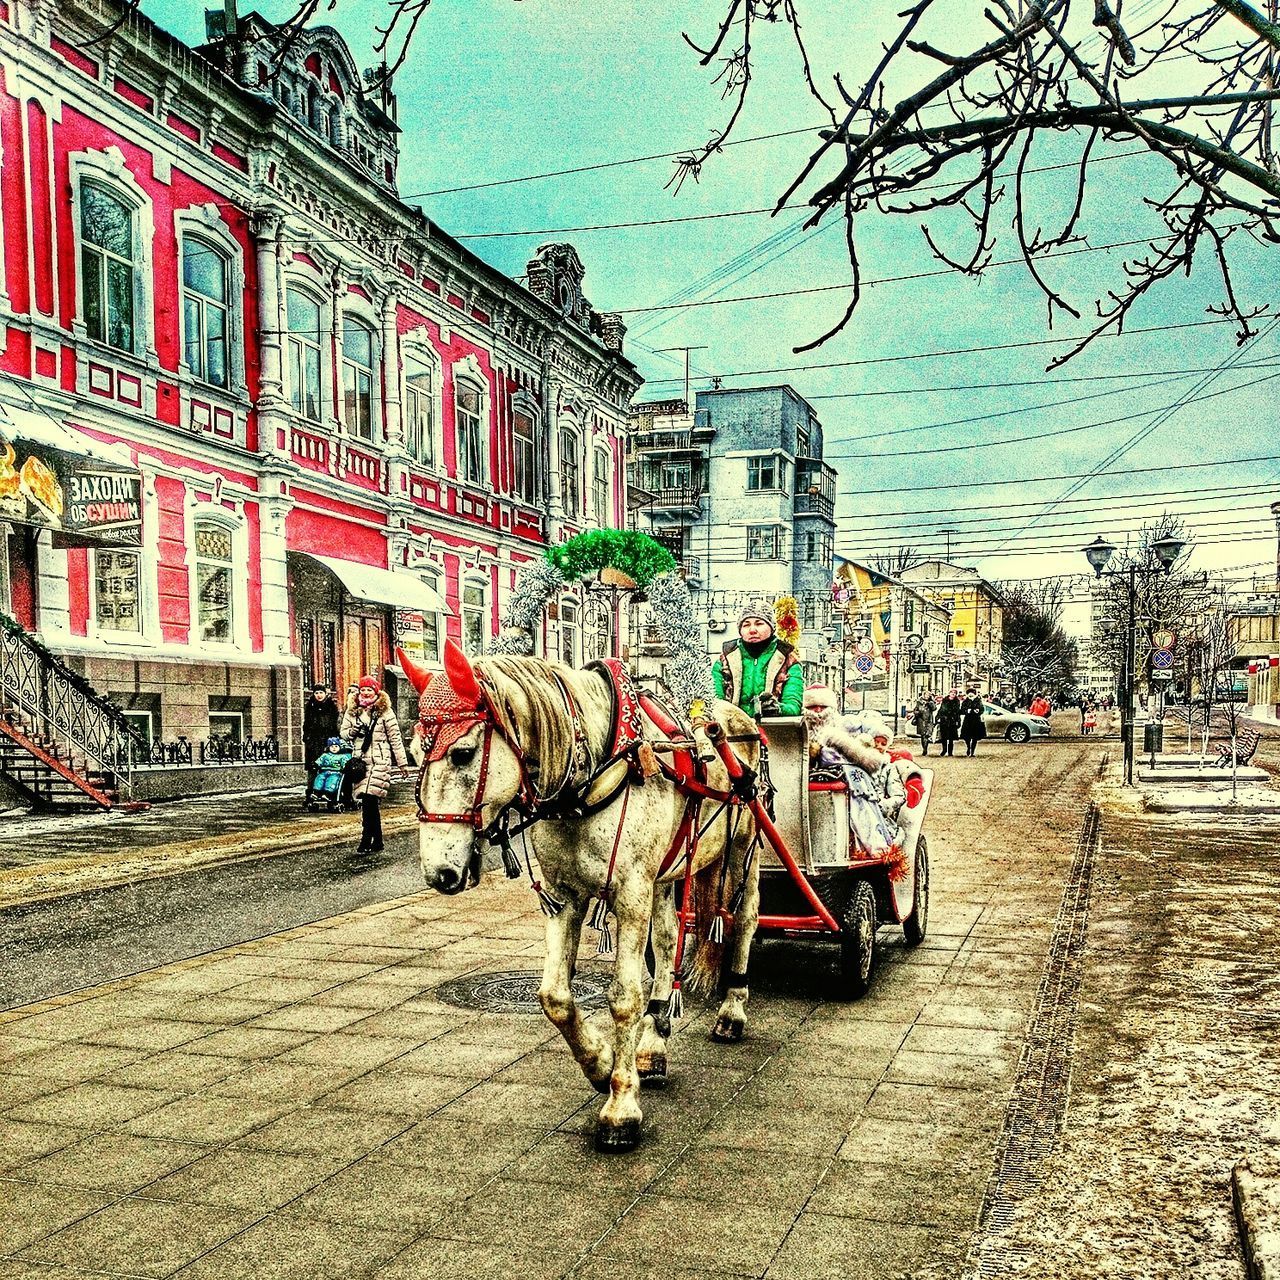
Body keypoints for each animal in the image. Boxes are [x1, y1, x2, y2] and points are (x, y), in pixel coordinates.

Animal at [399, 640, 757, 1152]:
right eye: (413, 751)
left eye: (463, 754)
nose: (439, 872)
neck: (589, 781)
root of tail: (735, 715)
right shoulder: (564, 896)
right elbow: (554, 996)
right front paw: (602, 1064)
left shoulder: (631, 894)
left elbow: (623, 996)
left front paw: (621, 1107)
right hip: (667, 873)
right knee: (669, 939)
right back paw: (653, 1043)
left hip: (743, 848)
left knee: (744, 920)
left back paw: (731, 1011)